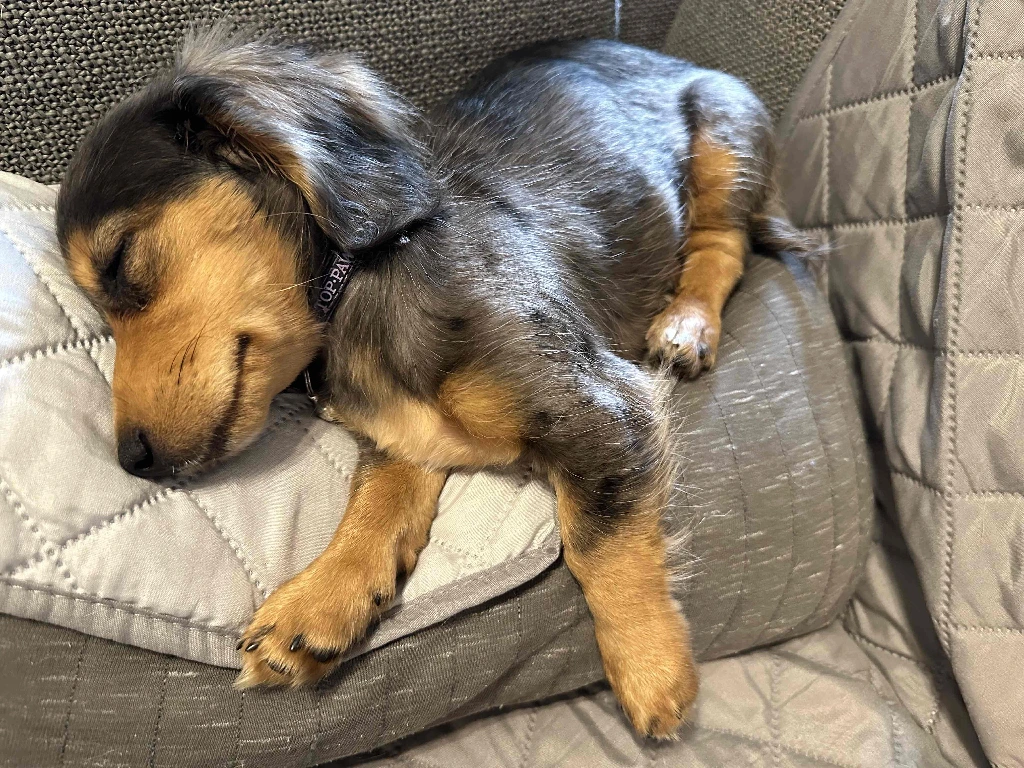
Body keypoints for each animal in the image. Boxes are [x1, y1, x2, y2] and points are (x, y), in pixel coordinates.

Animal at [56, 30, 811, 741]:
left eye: (119, 262)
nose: (133, 460)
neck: (360, 278)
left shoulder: (601, 407)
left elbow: (596, 544)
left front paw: (652, 671)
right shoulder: (407, 438)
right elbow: (373, 506)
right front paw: (319, 600)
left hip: (725, 144)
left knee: (723, 244)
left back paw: (687, 324)